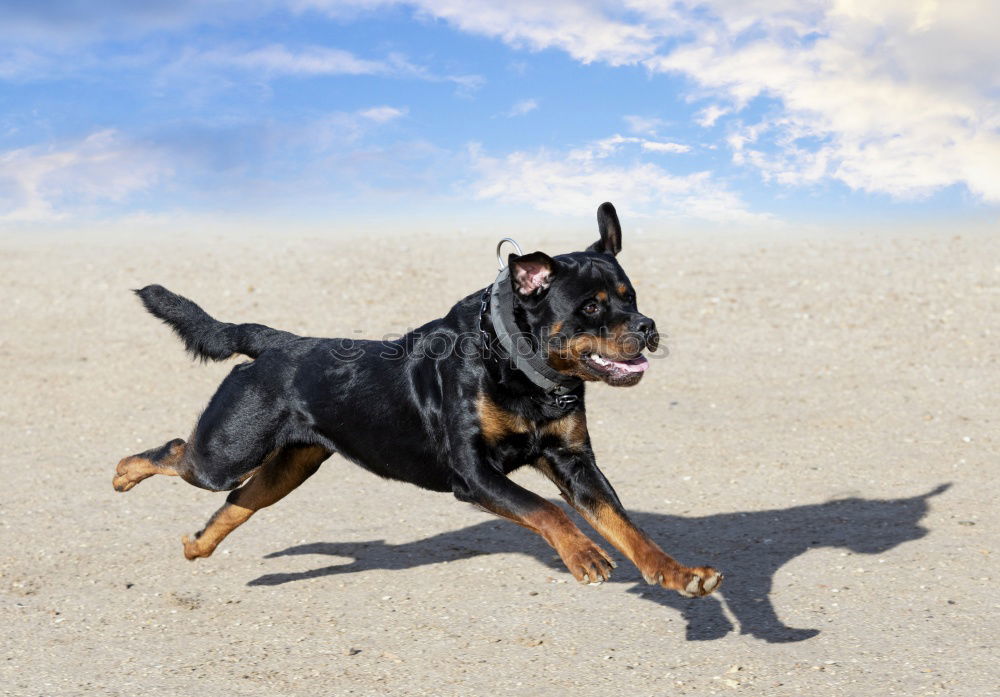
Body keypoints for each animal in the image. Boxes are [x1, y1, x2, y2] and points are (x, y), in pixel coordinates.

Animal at [113, 203, 724, 600]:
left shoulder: (574, 463)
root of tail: (277, 342)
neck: (522, 372)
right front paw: (585, 555)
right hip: (230, 449)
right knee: (180, 453)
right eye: (592, 307)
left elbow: (625, 525)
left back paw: (197, 545)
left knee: (238, 502)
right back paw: (123, 473)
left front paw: (678, 573)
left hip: (290, 466)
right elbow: (545, 509)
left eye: (631, 296)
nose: (647, 327)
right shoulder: (473, 473)